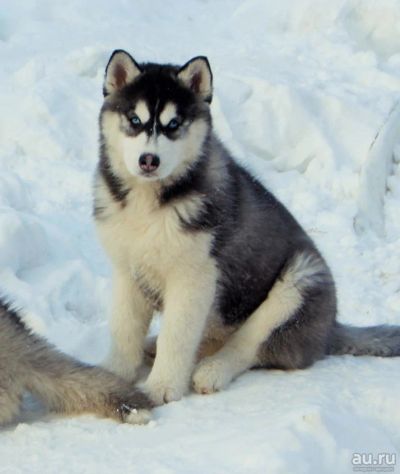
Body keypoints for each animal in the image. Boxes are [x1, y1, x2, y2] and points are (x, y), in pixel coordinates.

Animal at [95, 49, 400, 404]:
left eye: (174, 125)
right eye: (134, 120)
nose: (149, 160)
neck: (151, 202)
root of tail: (330, 328)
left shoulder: (195, 275)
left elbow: (178, 336)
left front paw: (161, 387)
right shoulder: (127, 268)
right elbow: (124, 328)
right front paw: (112, 374)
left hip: (299, 280)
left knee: (246, 346)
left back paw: (212, 370)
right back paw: (154, 348)